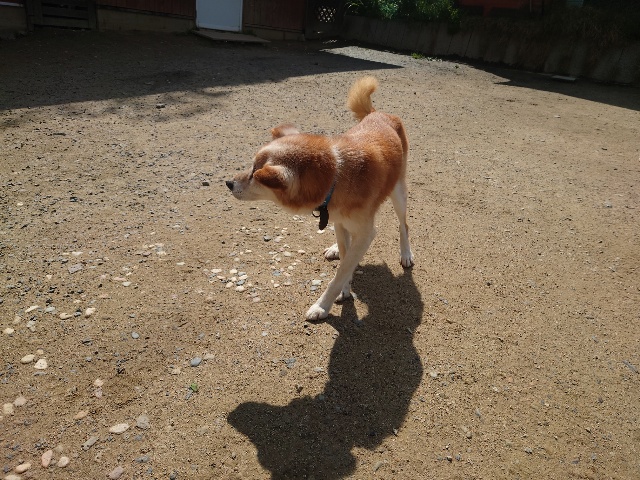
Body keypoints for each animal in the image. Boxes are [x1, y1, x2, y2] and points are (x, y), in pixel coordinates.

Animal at [226, 76, 414, 320]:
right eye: (251, 166)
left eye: (255, 174)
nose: (229, 183)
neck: (336, 176)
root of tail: (378, 113)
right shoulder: (340, 221)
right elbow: (345, 259)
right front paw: (344, 288)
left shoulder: (366, 233)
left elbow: (342, 270)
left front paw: (322, 306)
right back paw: (335, 248)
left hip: (398, 193)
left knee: (403, 225)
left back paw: (406, 253)